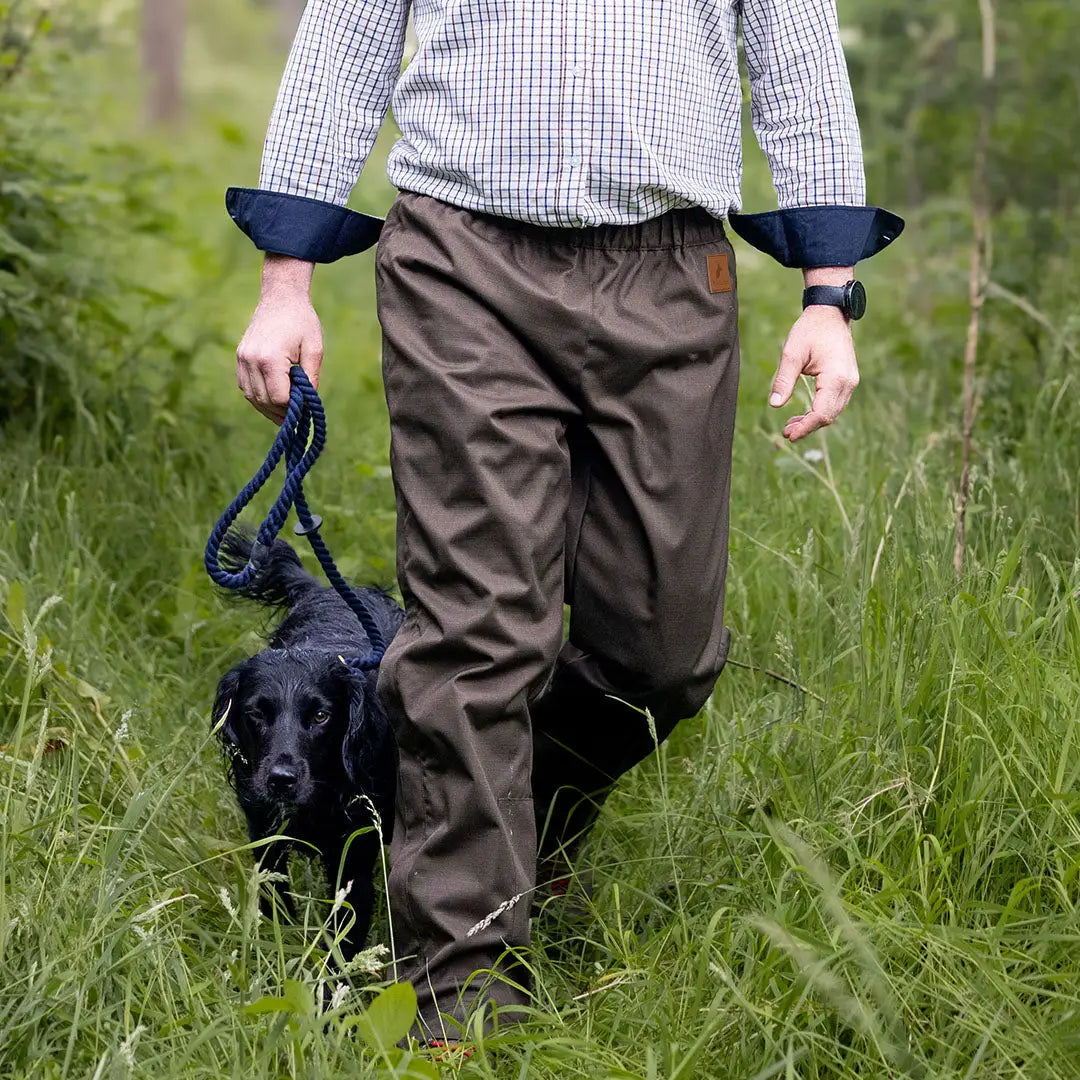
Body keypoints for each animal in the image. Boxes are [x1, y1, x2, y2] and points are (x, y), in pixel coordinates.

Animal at [208, 527, 403, 959]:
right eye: (257, 713)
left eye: (320, 716)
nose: (281, 779)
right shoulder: (264, 831)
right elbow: (274, 900)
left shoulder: (355, 853)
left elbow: (346, 932)